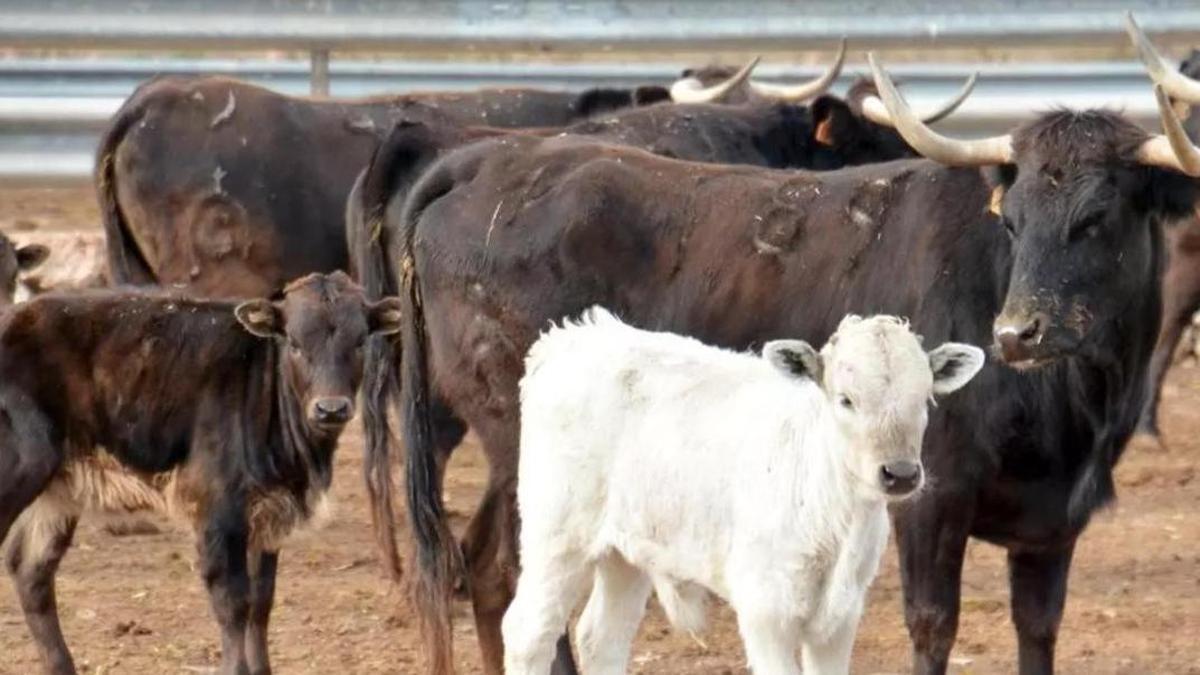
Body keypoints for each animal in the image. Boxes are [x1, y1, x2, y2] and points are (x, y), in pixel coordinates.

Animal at [0, 271, 402, 675]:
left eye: (360, 340)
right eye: (295, 342)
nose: (331, 408)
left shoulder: (266, 515)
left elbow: (261, 601)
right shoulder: (218, 511)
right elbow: (233, 602)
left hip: (58, 492)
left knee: (31, 569)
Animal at [503, 310, 985, 675]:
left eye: (924, 400)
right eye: (846, 399)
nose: (900, 474)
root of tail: (573, 336)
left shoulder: (840, 617)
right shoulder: (766, 609)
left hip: (628, 548)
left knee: (601, 636)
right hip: (557, 538)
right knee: (527, 633)